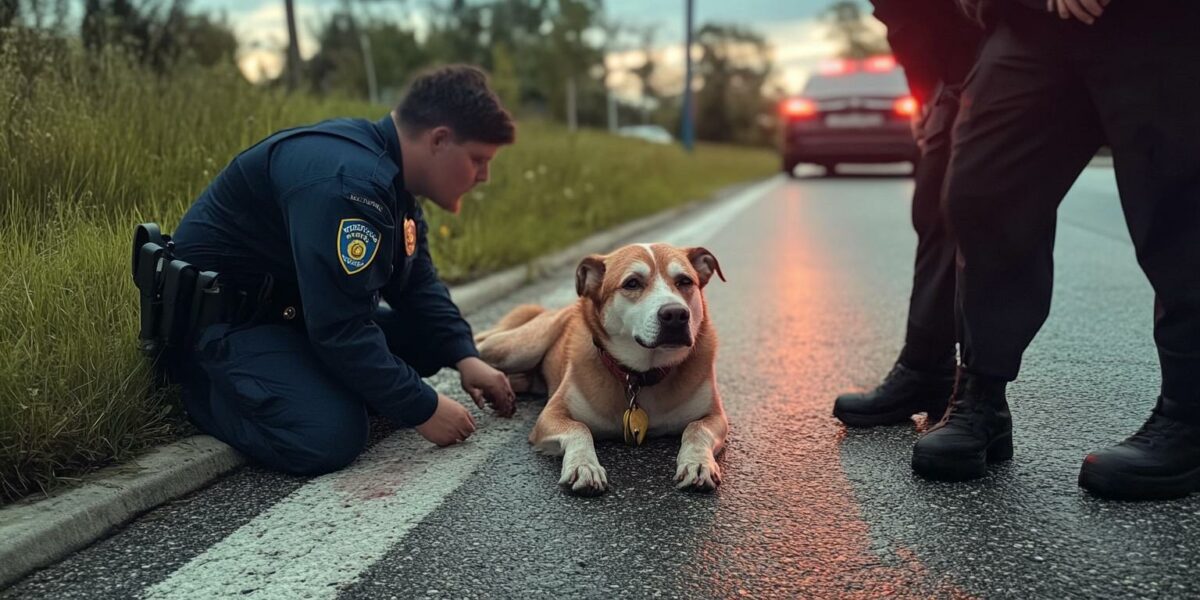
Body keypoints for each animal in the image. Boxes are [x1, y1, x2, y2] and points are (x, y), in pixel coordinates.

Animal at [472, 241, 724, 494]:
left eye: (685, 281)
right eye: (632, 283)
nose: (676, 314)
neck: (639, 375)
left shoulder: (717, 416)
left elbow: (697, 428)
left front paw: (697, 464)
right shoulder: (550, 416)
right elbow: (579, 428)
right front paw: (584, 466)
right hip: (520, 348)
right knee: (482, 348)